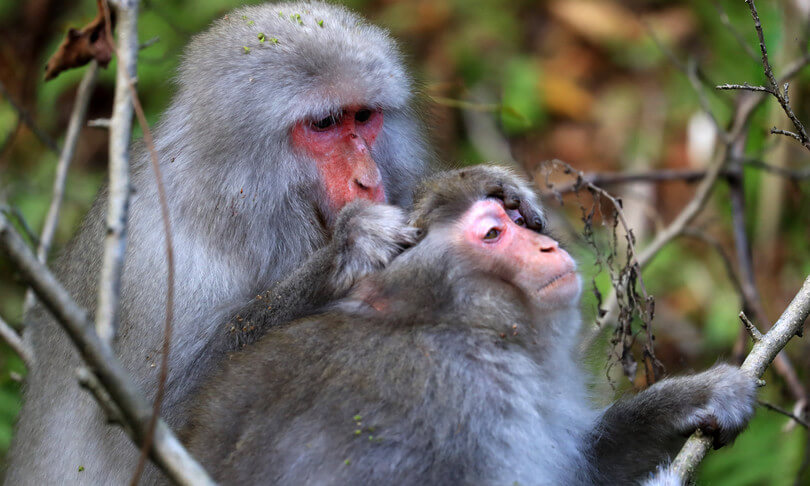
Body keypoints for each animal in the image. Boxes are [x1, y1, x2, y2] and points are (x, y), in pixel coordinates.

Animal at [6, 3, 433, 484]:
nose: (368, 179)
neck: (230, 207)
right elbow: (151, 422)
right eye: (324, 123)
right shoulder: (152, 261)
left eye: (363, 117)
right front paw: (344, 256)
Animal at [178, 166, 757, 486]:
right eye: (495, 234)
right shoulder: (466, 404)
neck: (455, 324)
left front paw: (698, 397)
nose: (547, 247)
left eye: (519, 222)